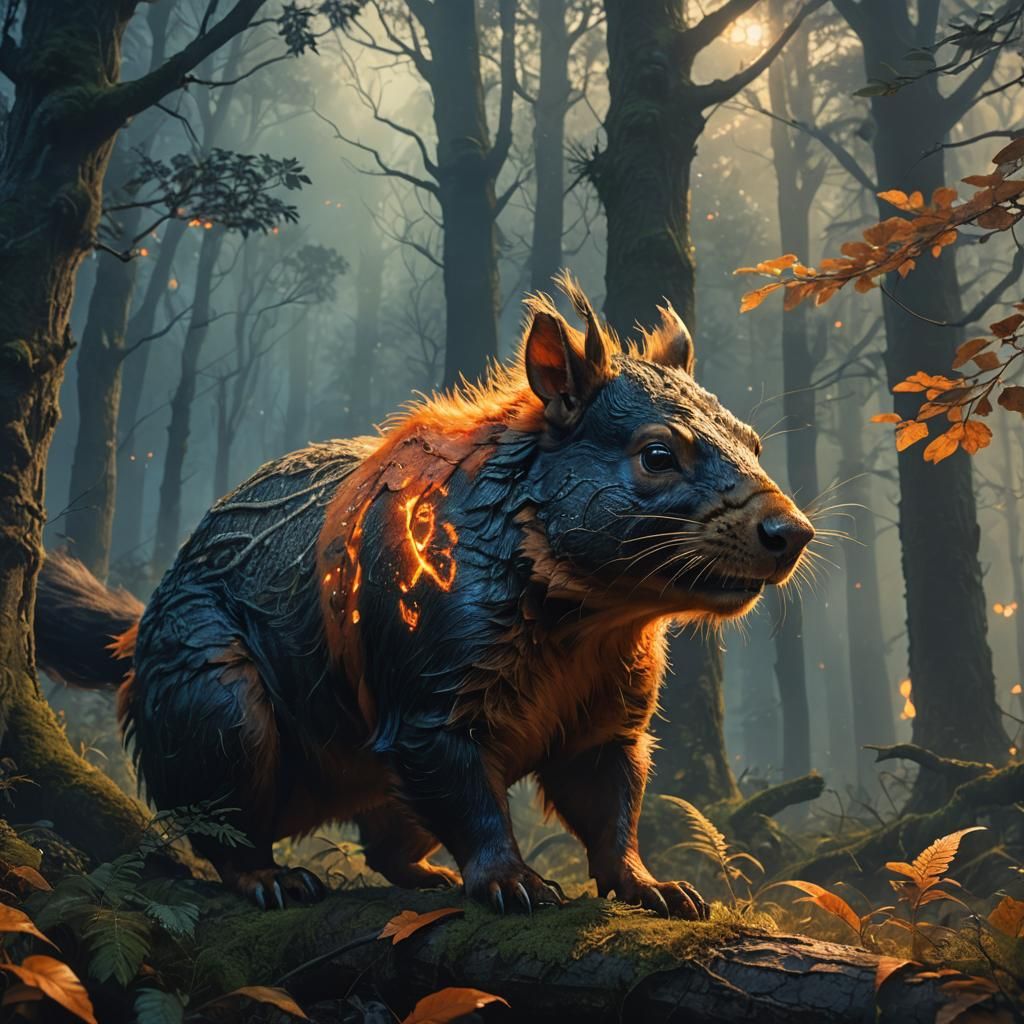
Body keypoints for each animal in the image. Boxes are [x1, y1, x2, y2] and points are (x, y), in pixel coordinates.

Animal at [35, 275, 813, 918]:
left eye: (752, 441)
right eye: (656, 456)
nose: (793, 532)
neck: (590, 617)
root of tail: (138, 637)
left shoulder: (609, 716)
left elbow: (610, 804)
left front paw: (650, 885)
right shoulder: (431, 690)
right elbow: (471, 797)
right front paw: (511, 879)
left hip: (377, 788)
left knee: (385, 843)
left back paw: (426, 875)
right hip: (213, 703)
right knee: (219, 823)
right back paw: (271, 877)